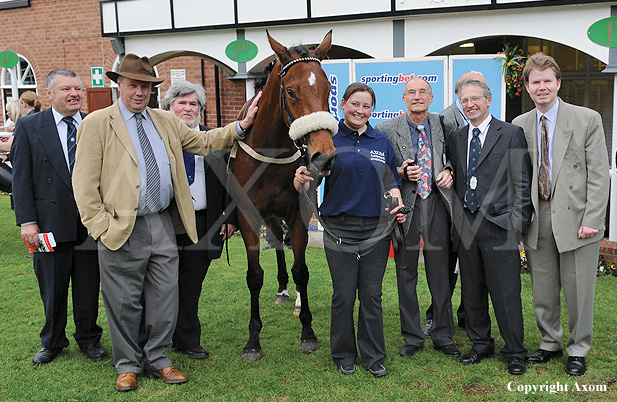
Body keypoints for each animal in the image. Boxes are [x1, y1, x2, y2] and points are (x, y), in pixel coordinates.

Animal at [227, 31, 336, 362]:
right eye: (290, 91)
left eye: (328, 88)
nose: (324, 156)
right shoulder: (248, 216)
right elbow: (254, 276)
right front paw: (253, 340)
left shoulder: (300, 213)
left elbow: (301, 270)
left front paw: (308, 332)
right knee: (276, 241)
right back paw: (282, 290)